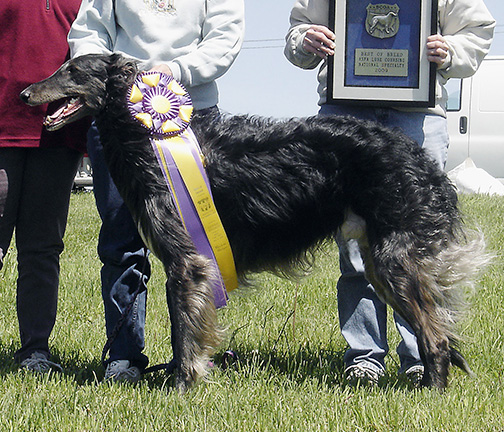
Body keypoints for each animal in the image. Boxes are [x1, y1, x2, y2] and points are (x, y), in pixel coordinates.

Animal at [20, 54, 488, 392]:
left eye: (73, 71)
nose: (24, 93)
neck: (148, 137)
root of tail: (421, 161)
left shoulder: (186, 262)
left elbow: (183, 331)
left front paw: (181, 386)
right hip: (380, 257)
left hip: (394, 260)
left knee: (435, 335)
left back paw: (431, 392)